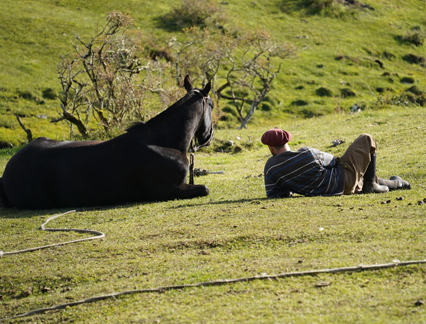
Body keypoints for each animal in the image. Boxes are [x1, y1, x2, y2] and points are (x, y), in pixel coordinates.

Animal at [0, 75, 213, 210]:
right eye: (211, 104)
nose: (208, 136)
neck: (162, 143)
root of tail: (8, 171)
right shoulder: (169, 190)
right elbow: (205, 188)